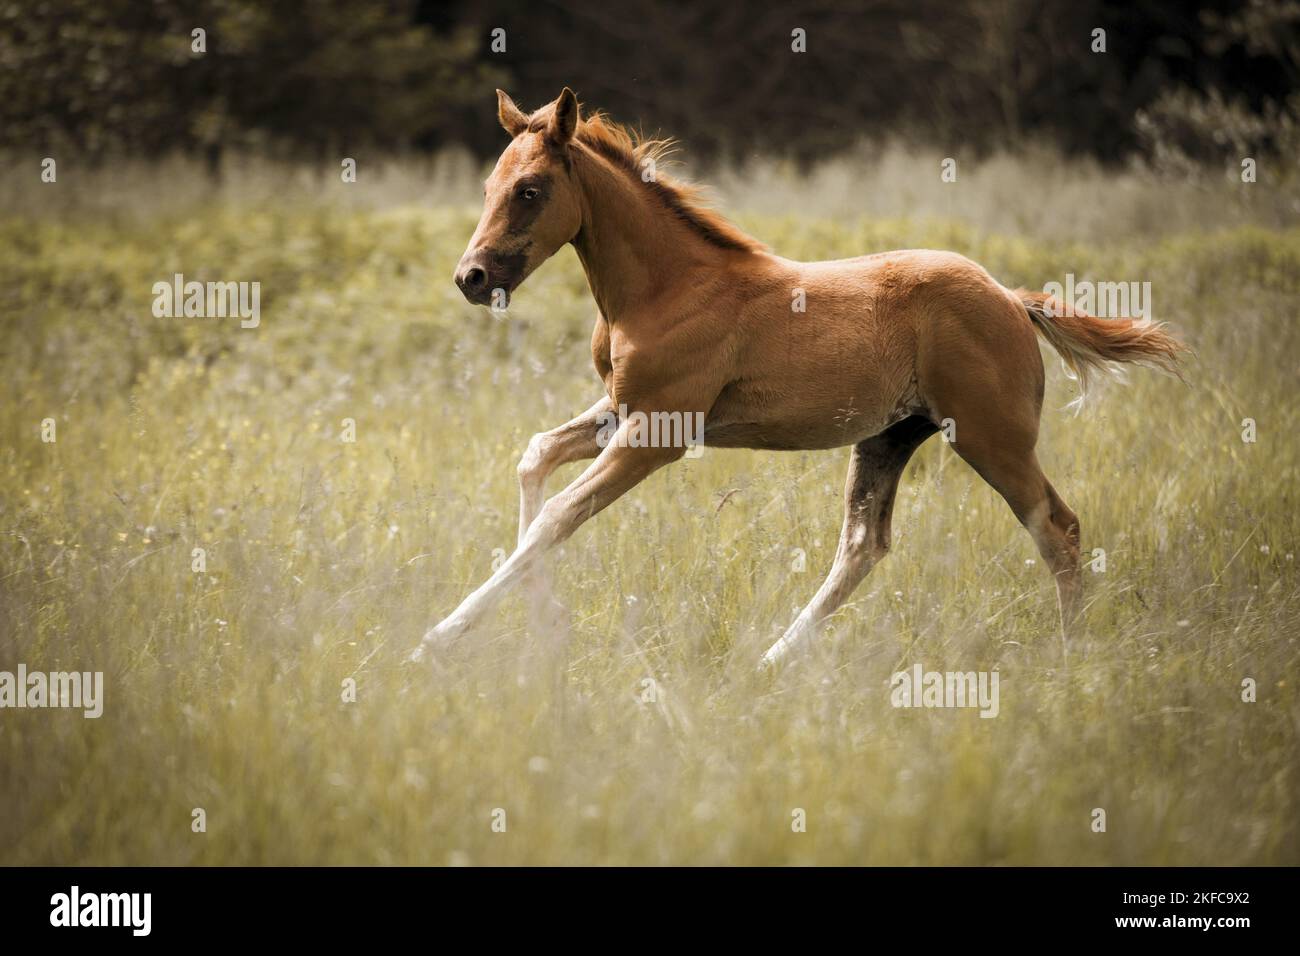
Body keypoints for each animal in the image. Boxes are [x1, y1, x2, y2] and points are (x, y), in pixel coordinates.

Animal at [411, 88, 1184, 669]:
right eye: (489, 186)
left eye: (531, 190)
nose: (470, 278)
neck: (666, 286)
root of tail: (1012, 298)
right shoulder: (621, 406)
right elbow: (535, 458)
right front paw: (543, 625)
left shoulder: (660, 431)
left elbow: (558, 515)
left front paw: (438, 638)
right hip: (890, 437)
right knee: (864, 545)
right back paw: (772, 660)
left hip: (991, 436)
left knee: (1057, 526)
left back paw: (1071, 656)